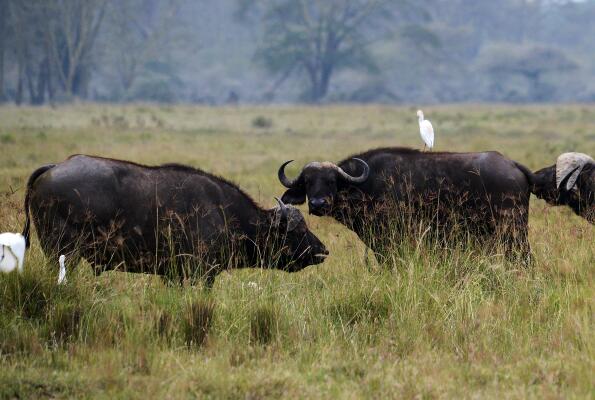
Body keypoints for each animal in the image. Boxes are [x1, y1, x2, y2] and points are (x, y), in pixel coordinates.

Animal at [23, 155, 328, 286]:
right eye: (298, 230)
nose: (323, 250)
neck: (225, 213)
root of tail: (54, 167)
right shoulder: (201, 274)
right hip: (63, 254)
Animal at [278, 148, 532, 262]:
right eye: (308, 182)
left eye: (332, 181)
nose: (318, 204)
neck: (368, 184)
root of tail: (513, 165)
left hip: (513, 233)